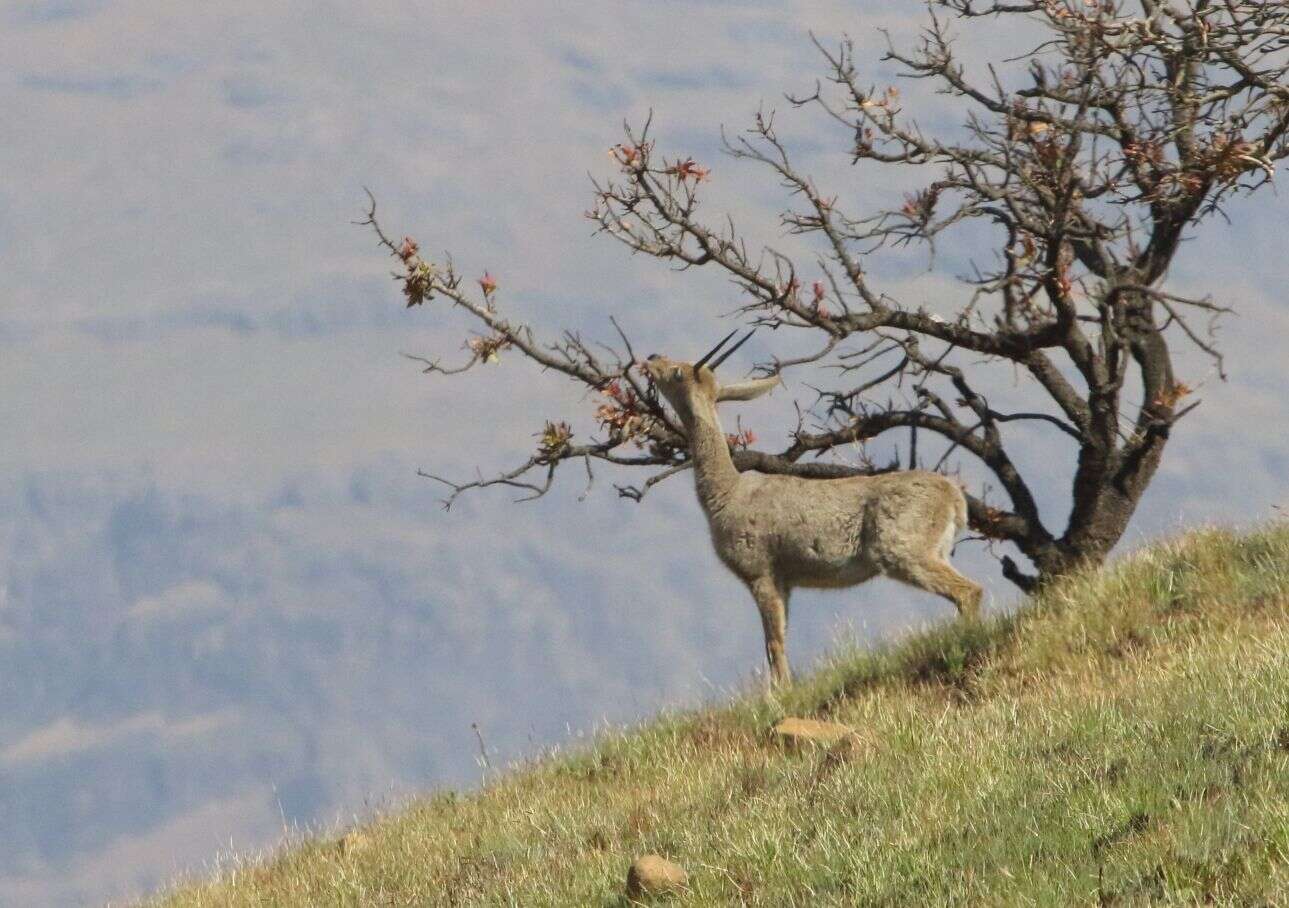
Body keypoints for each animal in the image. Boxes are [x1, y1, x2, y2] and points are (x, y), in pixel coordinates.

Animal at [639, 330, 979, 686]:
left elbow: (774, 642)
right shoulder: (785, 579)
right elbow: (781, 636)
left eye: (677, 372)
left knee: (970, 591)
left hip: (901, 547)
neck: (725, 495)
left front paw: (780, 690)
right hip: (934, 549)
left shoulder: (760, 569)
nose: (652, 357)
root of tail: (955, 499)